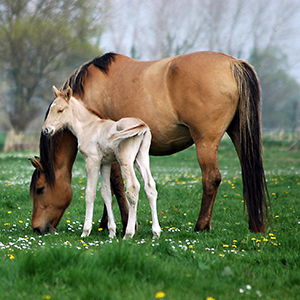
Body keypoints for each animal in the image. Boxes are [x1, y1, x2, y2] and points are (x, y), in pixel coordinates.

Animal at [42, 86, 162, 239]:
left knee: (133, 187)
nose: (46, 130)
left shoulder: (92, 161)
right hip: (141, 158)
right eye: (51, 109)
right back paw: (156, 233)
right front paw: (111, 232)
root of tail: (142, 125)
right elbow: (106, 193)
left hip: (125, 159)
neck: (88, 127)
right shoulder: (105, 163)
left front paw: (85, 231)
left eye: (61, 110)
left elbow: (90, 193)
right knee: (150, 186)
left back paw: (128, 233)